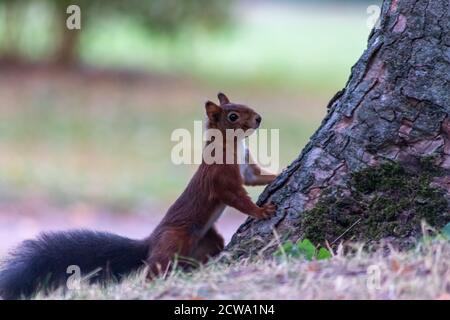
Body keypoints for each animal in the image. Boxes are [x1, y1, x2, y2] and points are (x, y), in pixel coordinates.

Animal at [0, 93, 276, 300]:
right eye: (233, 116)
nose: (259, 119)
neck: (231, 145)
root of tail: (150, 241)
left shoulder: (247, 169)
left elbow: (258, 177)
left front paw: (277, 174)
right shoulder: (222, 178)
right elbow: (237, 198)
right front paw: (262, 211)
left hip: (207, 239)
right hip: (173, 241)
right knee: (154, 270)